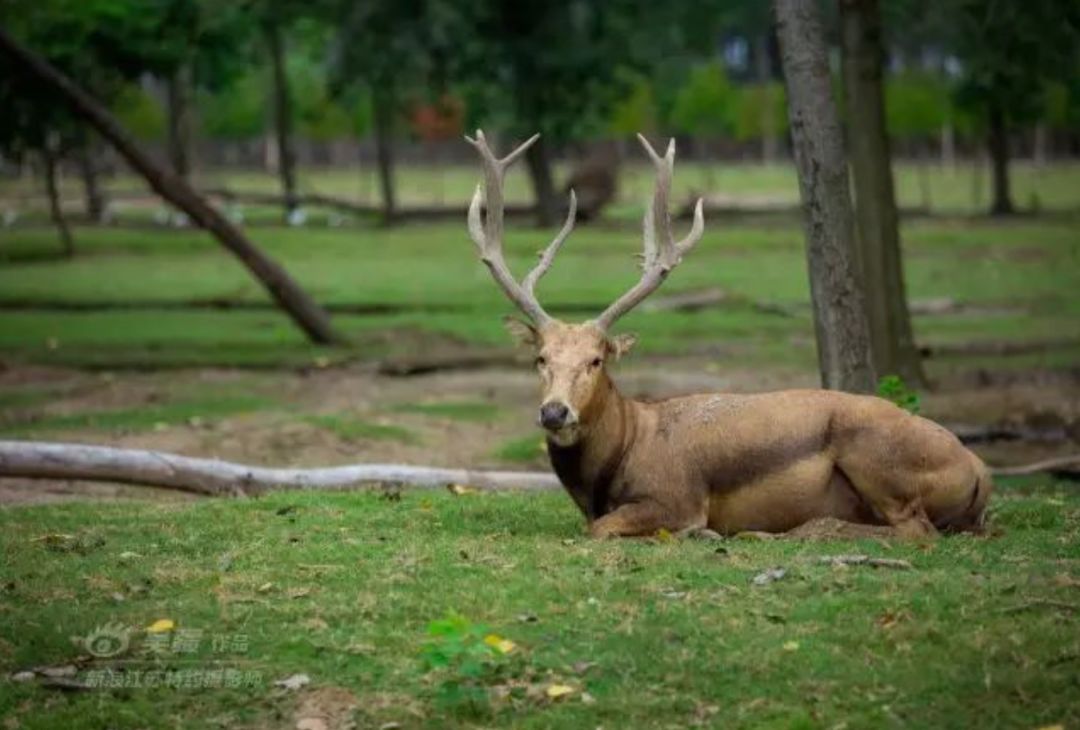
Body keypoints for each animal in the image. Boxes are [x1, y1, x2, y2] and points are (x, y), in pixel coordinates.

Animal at [464, 129, 989, 542]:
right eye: (541, 358)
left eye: (597, 359)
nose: (555, 412)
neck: (619, 460)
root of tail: (980, 469)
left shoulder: (674, 497)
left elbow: (601, 529)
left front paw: (700, 533)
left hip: (877, 456)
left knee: (915, 530)